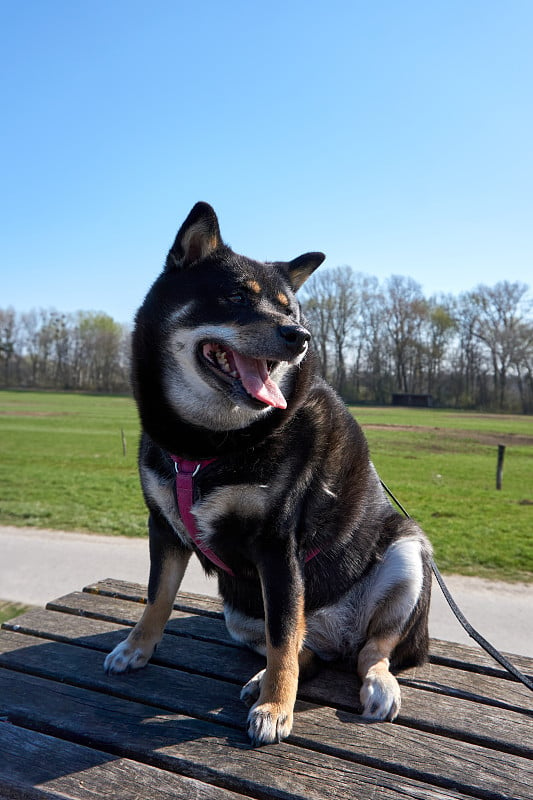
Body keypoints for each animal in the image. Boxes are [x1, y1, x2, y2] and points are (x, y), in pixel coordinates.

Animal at [105, 203, 432, 748]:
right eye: (237, 296)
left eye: (290, 311)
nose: (299, 337)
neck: (205, 445)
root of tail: (336, 634)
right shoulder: (164, 528)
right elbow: (157, 597)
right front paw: (137, 648)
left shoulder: (277, 546)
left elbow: (283, 638)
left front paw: (277, 708)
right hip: (239, 612)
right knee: (308, 650)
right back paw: (265, 675)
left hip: (408, 553)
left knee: (369, 651)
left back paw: (373, 682)